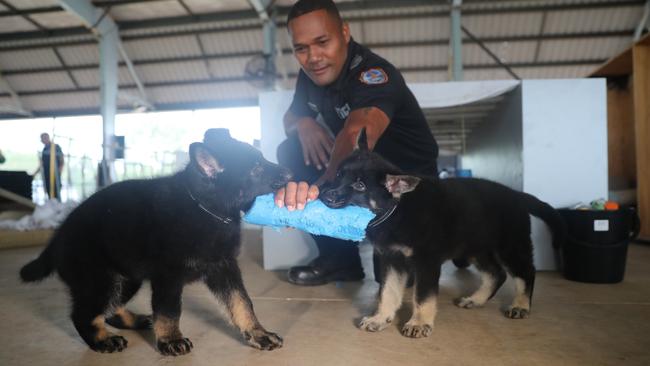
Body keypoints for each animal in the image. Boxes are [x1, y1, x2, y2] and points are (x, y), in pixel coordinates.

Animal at [19, 129, 288, 354]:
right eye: (255, 169)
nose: (289, 173)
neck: (205, 207)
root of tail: (59, 235)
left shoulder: (224, 268)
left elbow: (242, 303)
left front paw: (258, 333)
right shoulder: (168, 277)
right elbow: (169, 311)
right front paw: (171, 340)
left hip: (126, 279)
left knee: (109, 310)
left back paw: (134, 320)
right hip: (102, 281)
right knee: (83, 315)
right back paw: (103, 341)